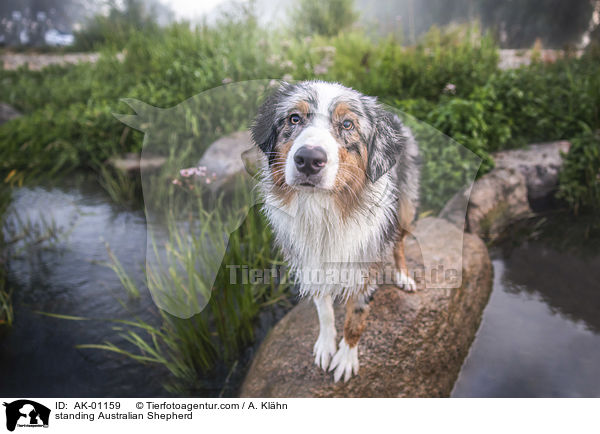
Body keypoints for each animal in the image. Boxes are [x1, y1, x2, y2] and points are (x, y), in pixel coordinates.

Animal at [251, 79, 420, 382]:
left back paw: (403, 276)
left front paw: (346, 358)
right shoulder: (309, 261)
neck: (324, 211)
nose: (308, 159)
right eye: (294, 118)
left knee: (399, 241)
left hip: (405, 205)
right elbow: (324, 310)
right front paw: (326, 345)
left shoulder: (366, 267)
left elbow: (356, 320)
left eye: (348, 124)